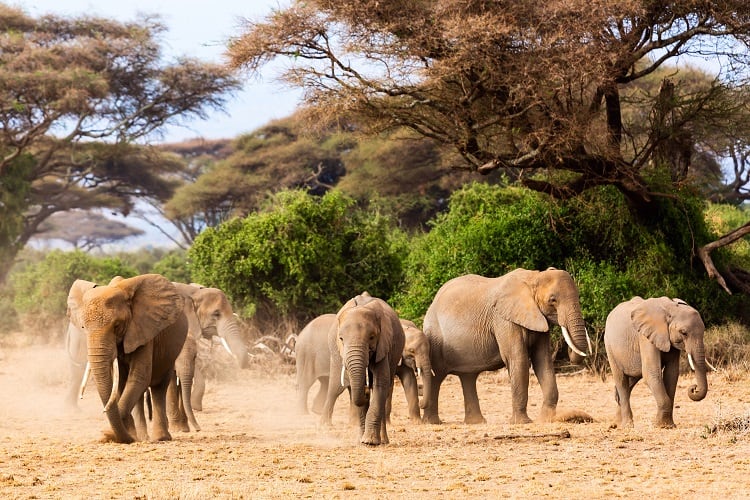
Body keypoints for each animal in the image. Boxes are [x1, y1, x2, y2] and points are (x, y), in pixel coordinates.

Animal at [66, 274, 189, 442]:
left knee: (159, 387)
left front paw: (110, 434)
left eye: (117, 326)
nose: (107, 434)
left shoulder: (144, 330)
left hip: (171, 352)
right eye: (83, 327)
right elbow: (119, 384)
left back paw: (160, 438)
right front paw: (125, 435)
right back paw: (142, 436)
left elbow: (139, 377)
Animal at [322, 292, 408, 446]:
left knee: (386, 388)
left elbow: (381, 383)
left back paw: (383, 441)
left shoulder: (383, 346)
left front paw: (370, 442)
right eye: (341, 339)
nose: (366, 390)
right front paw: (362, 442)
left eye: (372, 337)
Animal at [424, 268, 592, 424]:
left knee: (468, 377)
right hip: (435, 337)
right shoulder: (504, 320)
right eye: (553, 300)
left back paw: (476, 422)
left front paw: (546, 419)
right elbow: (518, 359)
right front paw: (523, 422)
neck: (534, 277)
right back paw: (432, 422)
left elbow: (542, 361)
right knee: (436, 376)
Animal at [604, 294, 712, 428]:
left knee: (632, 381)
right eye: (683, 333)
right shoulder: (645, 337)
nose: (694, 388)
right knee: (621, 380)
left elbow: (672, 374)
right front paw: (662, 426)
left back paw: (617, 423)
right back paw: (627, 426)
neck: (671, 309)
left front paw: (668, 425)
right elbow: (651, 373)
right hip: (609, 346)